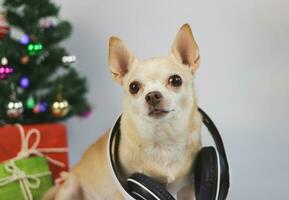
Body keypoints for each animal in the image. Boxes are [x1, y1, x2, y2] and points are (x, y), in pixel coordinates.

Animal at [42, 23, 201, 200]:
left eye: (176, 80)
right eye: (134, 87)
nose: (152, 96)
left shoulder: (188, 187)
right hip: (70, 187)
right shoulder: (123, 190)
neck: (163, 139)